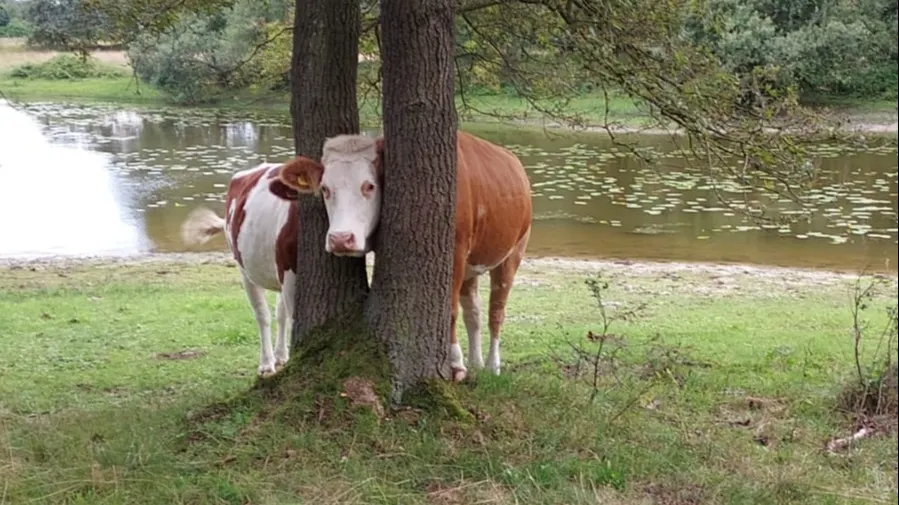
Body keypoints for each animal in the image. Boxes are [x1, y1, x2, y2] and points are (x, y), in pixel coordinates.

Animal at [180, 162, 299, 378]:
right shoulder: (290, 271)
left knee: (279, 313)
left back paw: (281, 355)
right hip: (246, 270)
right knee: (263, 315)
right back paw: (267, 363)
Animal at [269, 130, 533, 381]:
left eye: (369, 186)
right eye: (325, 189)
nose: (341, 238)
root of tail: (514, 163)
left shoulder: (456, 251)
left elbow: (450, 309)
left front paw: (455, 364)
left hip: (513, 252)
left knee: (496, 311)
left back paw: (491, 365)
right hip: (473, 264)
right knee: (474, 312)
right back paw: (477, 363)